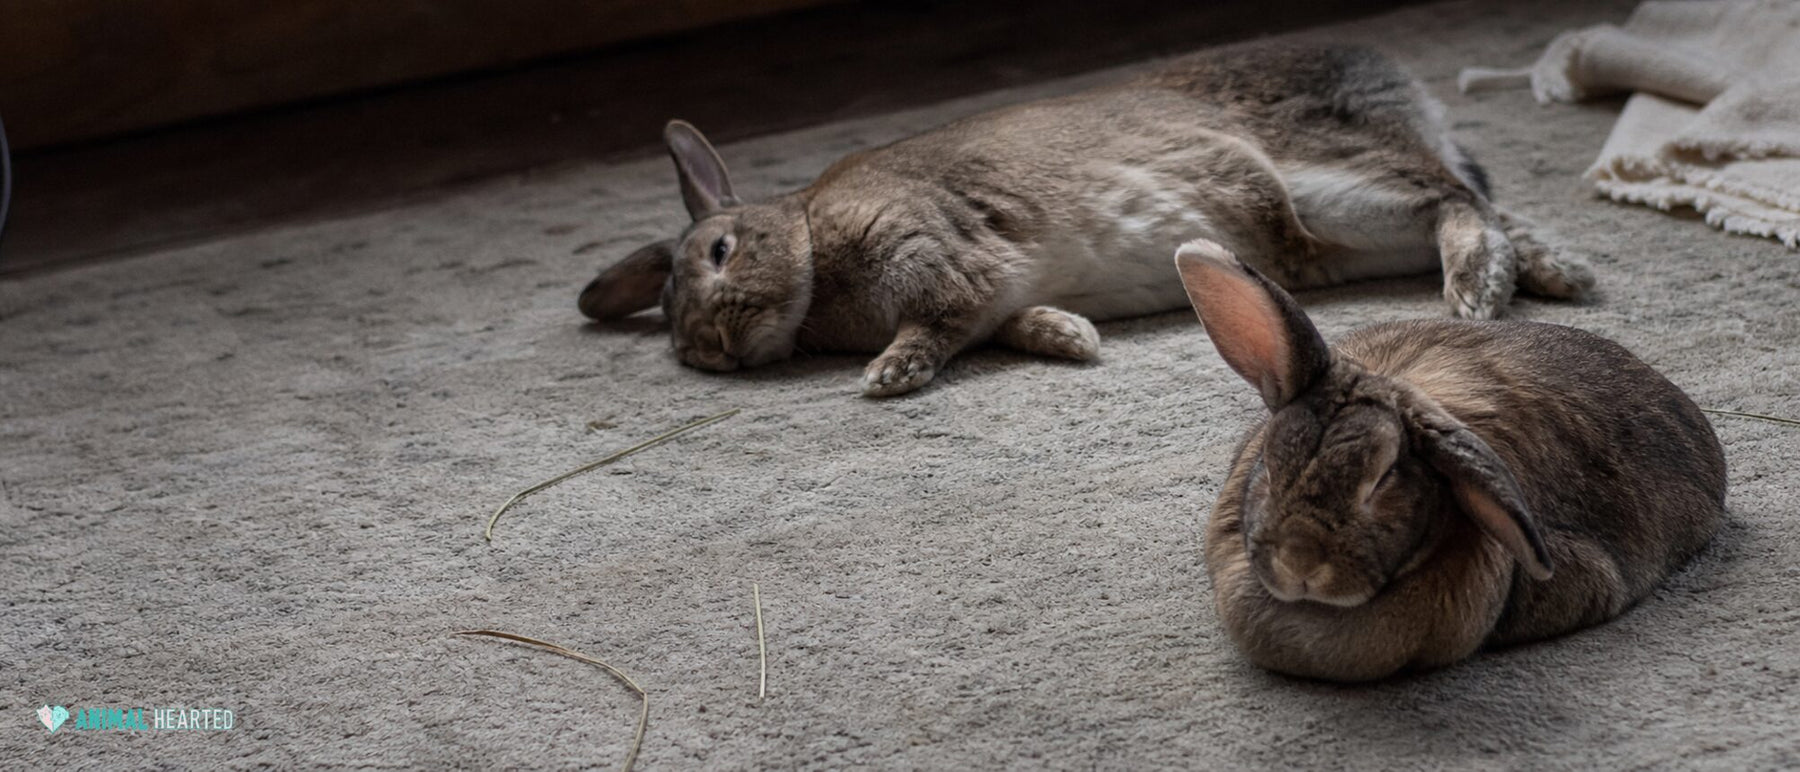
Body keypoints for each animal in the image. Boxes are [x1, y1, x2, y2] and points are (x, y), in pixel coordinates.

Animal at [580, 42, 1594, 397]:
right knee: (1477, 204)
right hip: (1332, 241)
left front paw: (887, 376)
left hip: (1322, 189)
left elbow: (937, 325)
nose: (712, 349)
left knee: (1456, 201)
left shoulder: (937, 259)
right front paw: (1072, 339)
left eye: (720, 249)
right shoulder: (991, 295)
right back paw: (1555, 274)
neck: (812, 246)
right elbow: (1007, 322)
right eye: (673, 334)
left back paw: (1481, 291)